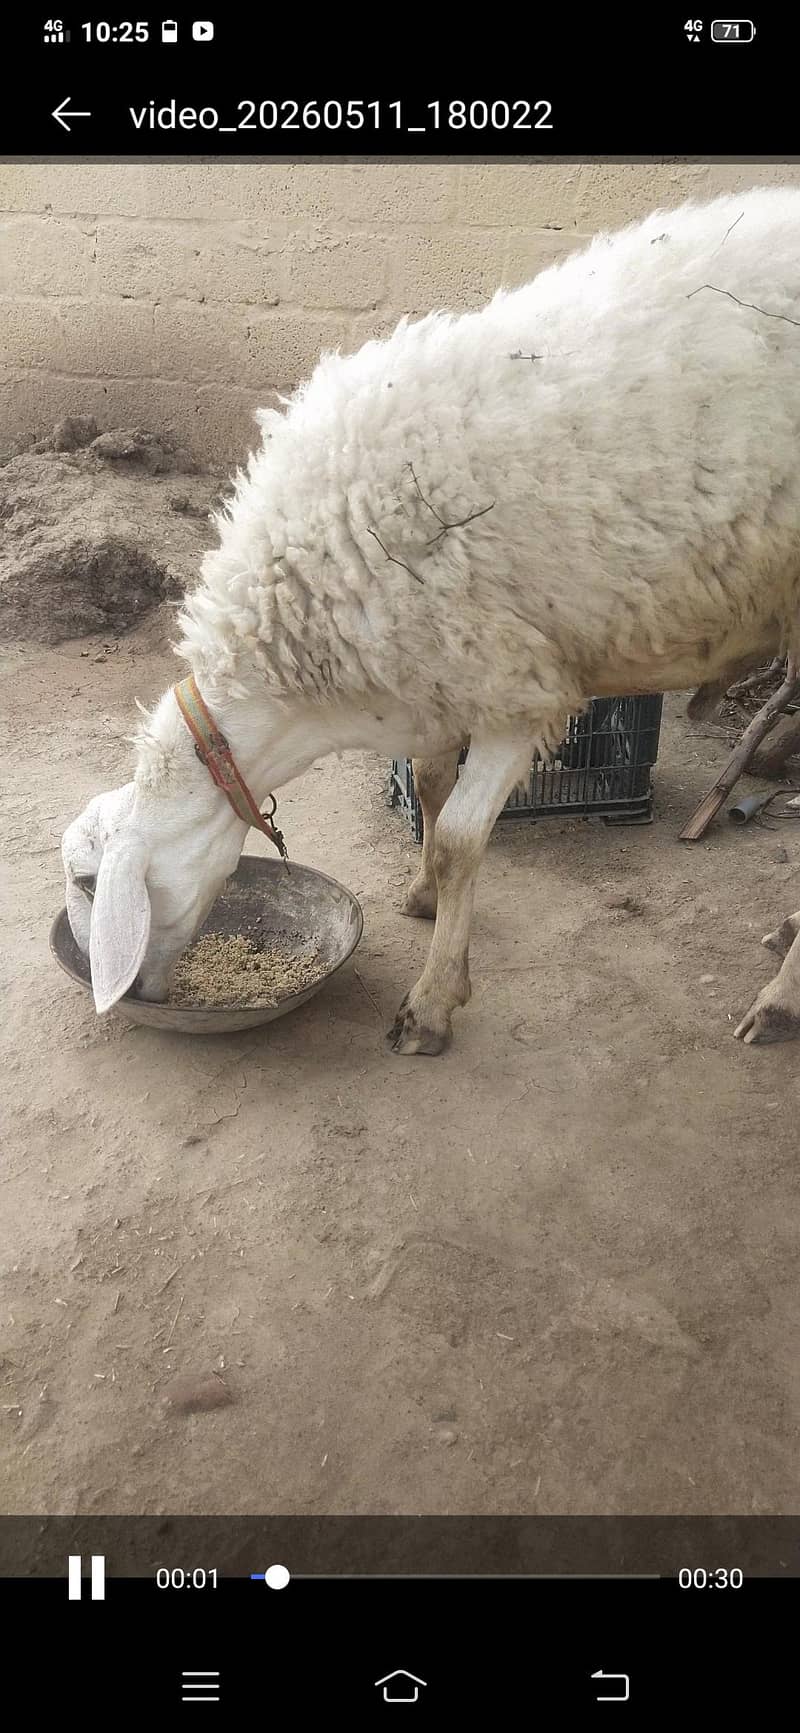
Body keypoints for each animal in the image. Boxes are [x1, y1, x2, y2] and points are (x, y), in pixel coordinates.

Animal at [63, 186, 800, 1053]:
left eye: (88, 882)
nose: (134, 992)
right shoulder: (434, 673)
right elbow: (429, 787)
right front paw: (419, 897)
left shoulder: (519, 685)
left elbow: (457, 840)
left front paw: (433, 999)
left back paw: (780, 998)